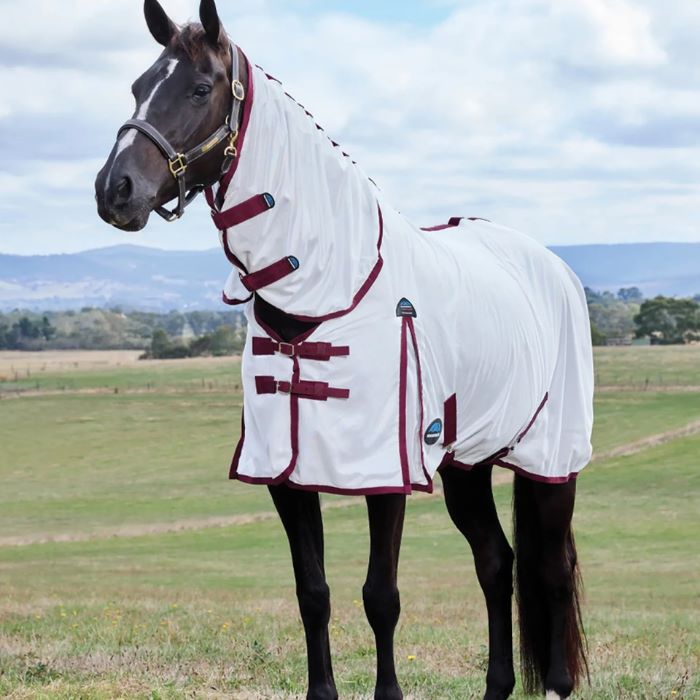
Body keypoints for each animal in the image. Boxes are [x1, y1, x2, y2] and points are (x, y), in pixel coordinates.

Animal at [95, 2, 593, 698]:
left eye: (199, 88)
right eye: (139, 86)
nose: (115, 189)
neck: (334, 285)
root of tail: (550, 266)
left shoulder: (385, 473)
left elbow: (380, 596)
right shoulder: (286, 475)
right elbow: (314, 593)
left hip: (550, 459)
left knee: (550, 571)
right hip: (467, 464)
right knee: (497, 563)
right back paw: (496, 685)